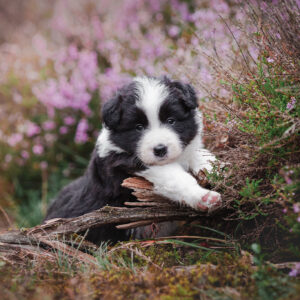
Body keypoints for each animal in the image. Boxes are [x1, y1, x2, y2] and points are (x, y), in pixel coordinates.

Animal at [45, 76, 223, 243]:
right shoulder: (129, 164)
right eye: (138, 127)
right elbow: (174, 177)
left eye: (171, 120)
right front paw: (204, 197)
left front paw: (217, 169)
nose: (160, 149)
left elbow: (199, 155)